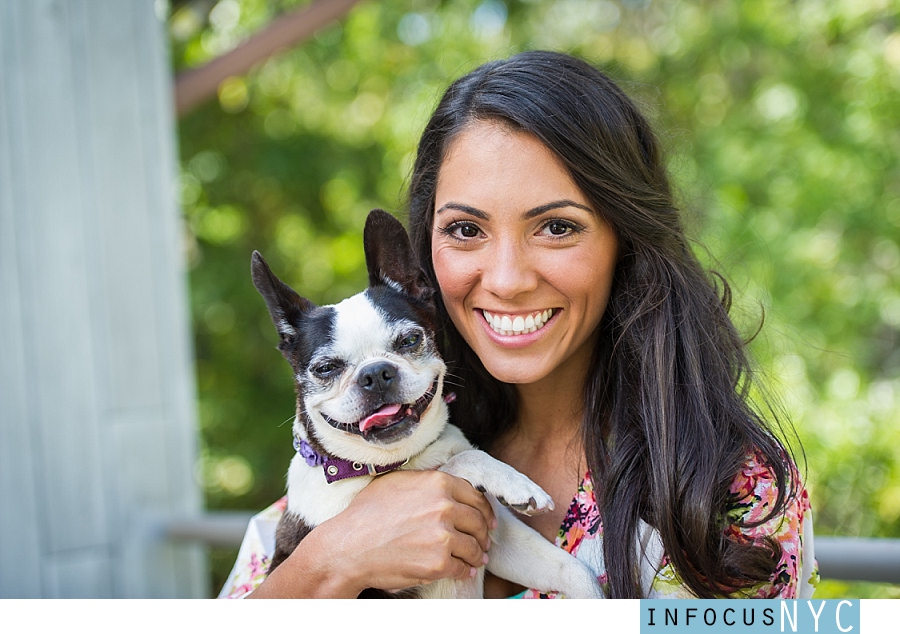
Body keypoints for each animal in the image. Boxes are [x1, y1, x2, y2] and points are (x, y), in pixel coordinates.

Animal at [251, 209, 604, 596]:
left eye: (409, 340)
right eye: (326, 368)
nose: (374, 373)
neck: (396, 464)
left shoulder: (499, 540)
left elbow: (568, 568)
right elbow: (457, 464)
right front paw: (515, 484)